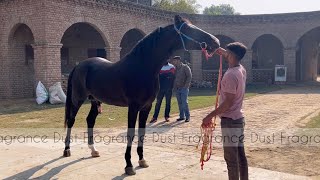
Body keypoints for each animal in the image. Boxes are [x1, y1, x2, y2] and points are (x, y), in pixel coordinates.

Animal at [62, 14, 220, 175]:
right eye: (188, 29)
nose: (215, 41)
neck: (142, 67)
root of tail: (78, 66)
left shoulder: (146, 107)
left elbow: (142, 132)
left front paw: (142, 160)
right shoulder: (133, 107)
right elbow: (131, 133)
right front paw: (129, 165)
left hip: (95, 100)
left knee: (90, 120)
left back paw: (93, 150)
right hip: (78, 99)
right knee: (71, 120)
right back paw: (67, 150)